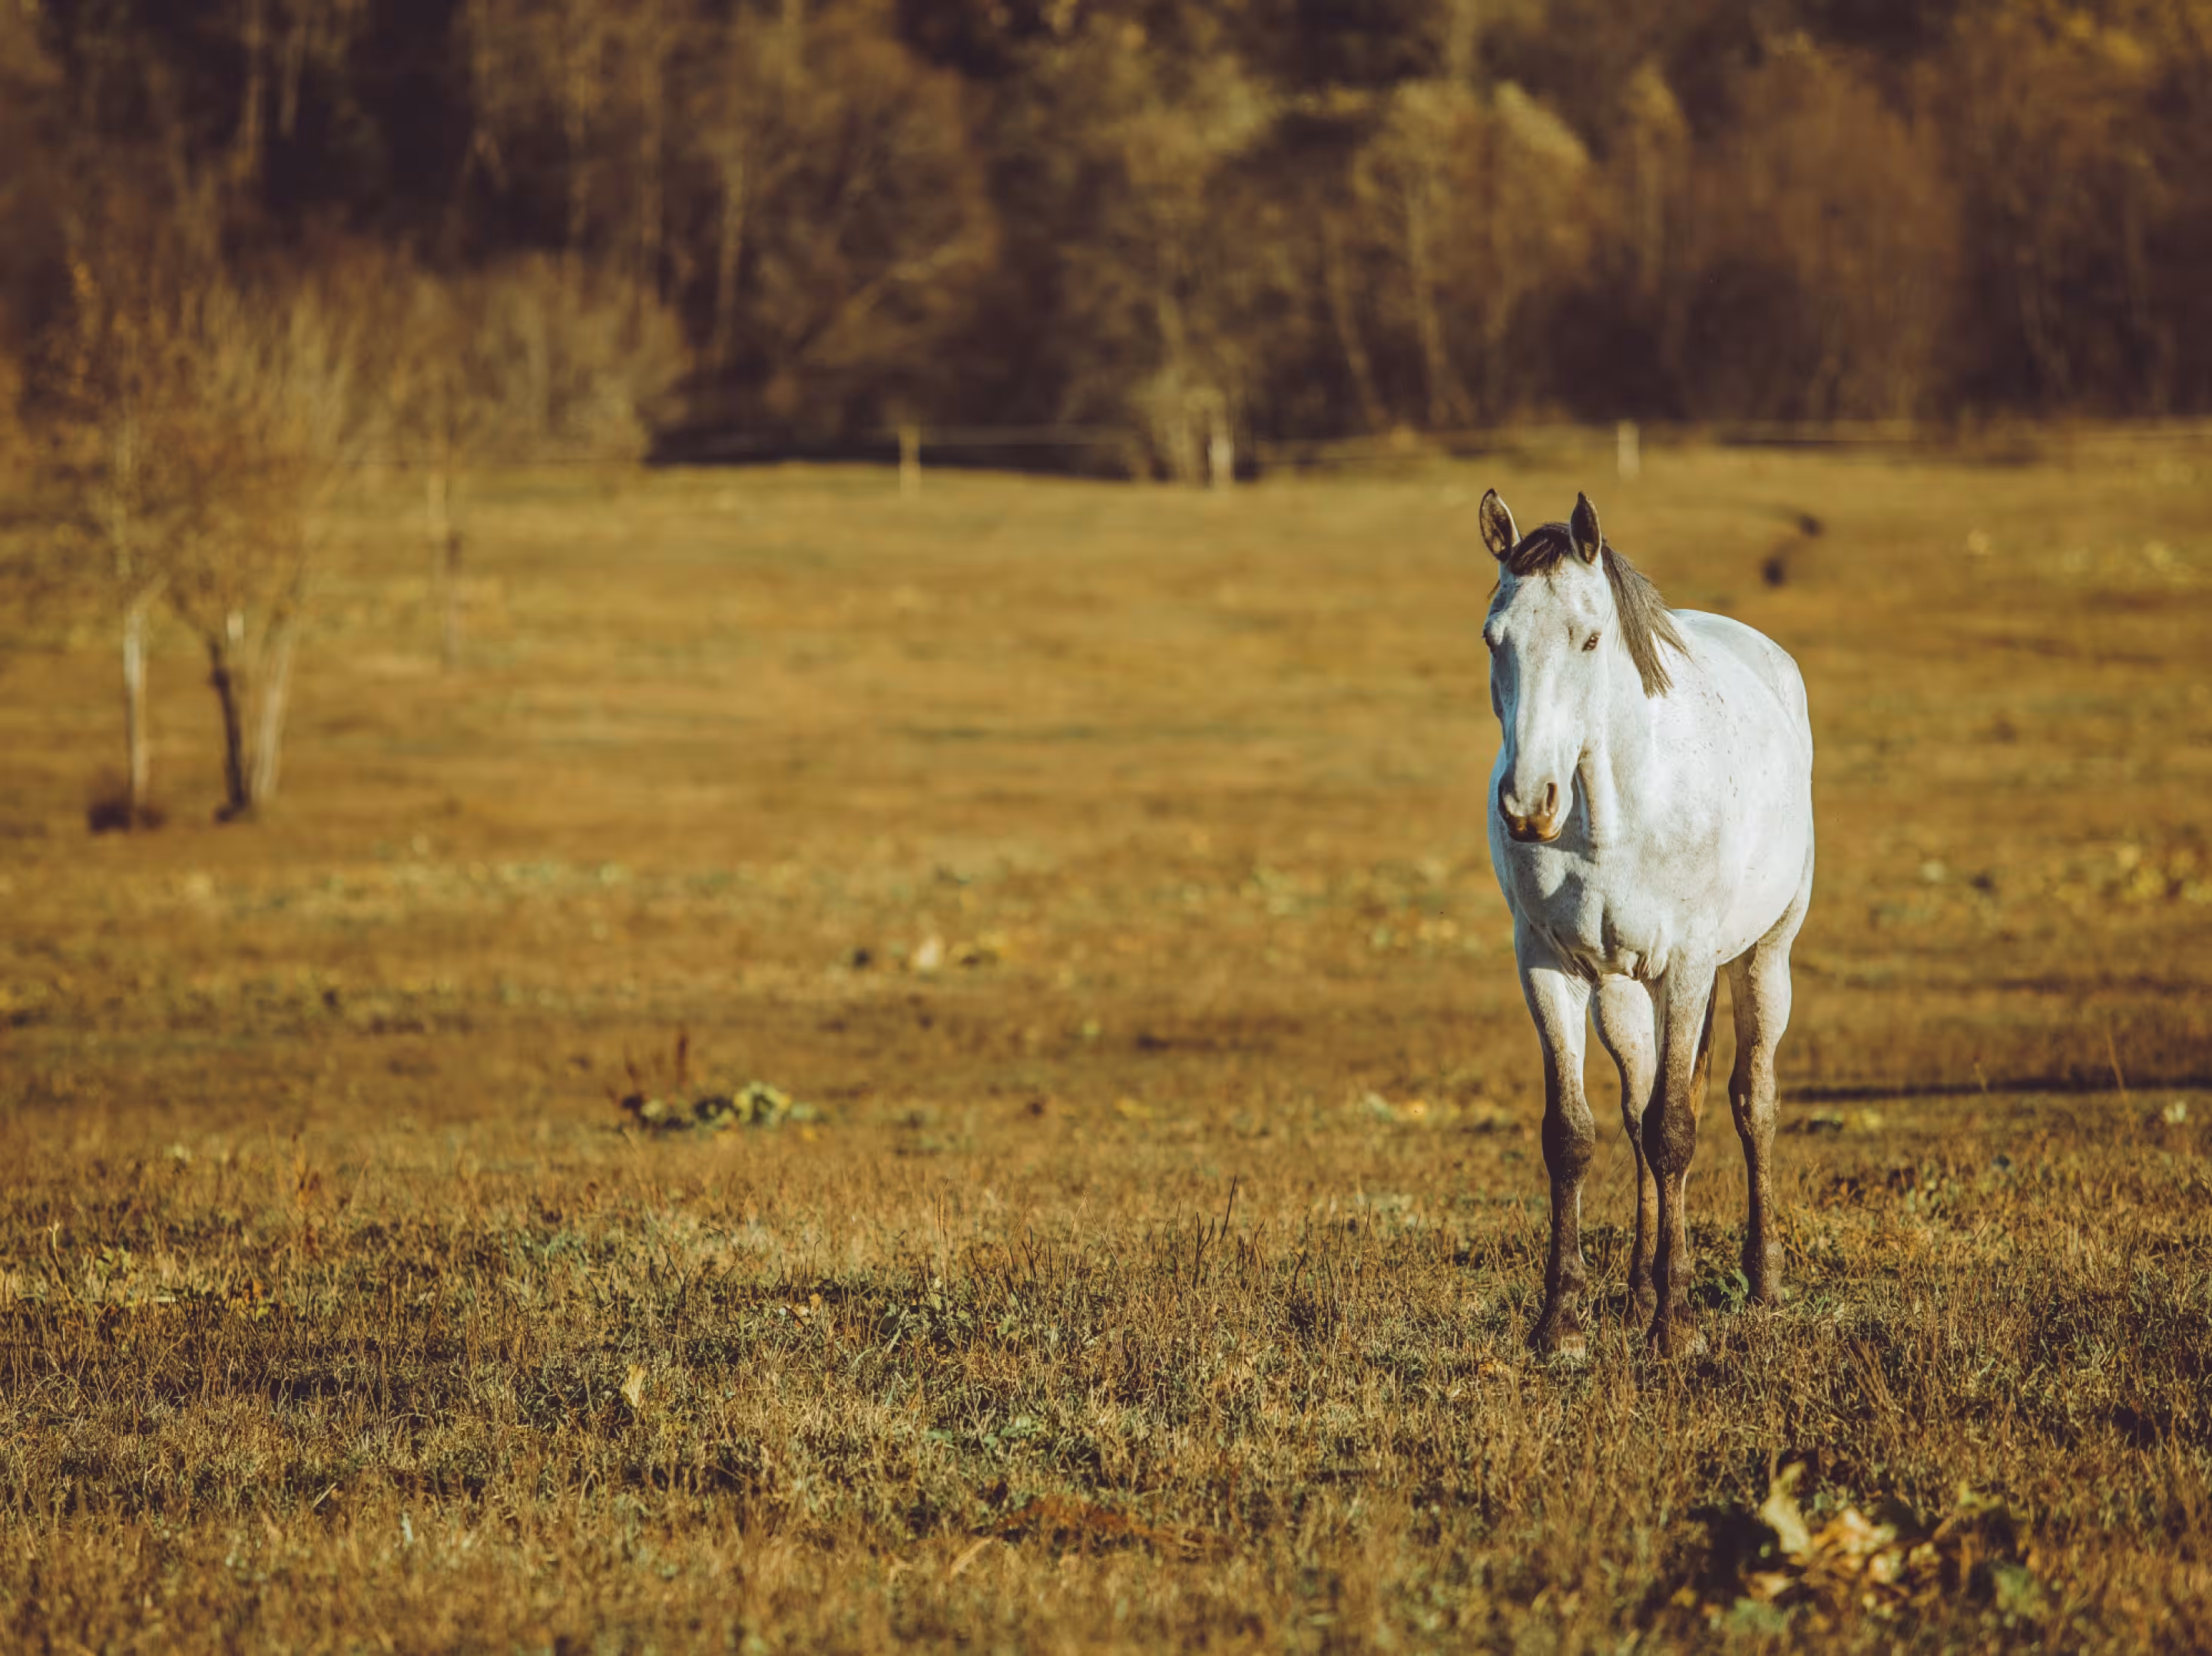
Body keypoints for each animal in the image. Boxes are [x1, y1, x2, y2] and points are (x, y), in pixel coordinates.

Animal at [1478, 488, 1815, 1358]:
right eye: (1494, 639)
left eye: (1591, 638)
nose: (1528, 803)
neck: (1612, 810)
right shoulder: (1546, 966)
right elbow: (1576, 1134)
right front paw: (1561, 1323)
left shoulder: (1692, 962)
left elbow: (1676, 1130)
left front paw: (1680, 1325)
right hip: (1624, 989)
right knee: (1635, 1113)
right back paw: (1636, 1291)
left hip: (1763, 958)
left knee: (1749, 1102)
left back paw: (1762, 1282)